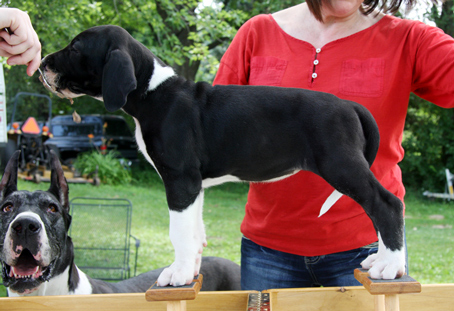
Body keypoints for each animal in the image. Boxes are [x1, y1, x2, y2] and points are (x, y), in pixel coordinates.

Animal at [40, 25, 406, 286]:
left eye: (76, 48)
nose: (42, 64)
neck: (152, 91)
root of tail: (350, 105)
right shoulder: (194, 184)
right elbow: (193, 232)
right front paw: (189, 271)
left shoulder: (180, 180)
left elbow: (179, 231)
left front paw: (178, 274)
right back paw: (379, 260)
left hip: (341, 164)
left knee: (387, 204)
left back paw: (390, 266)